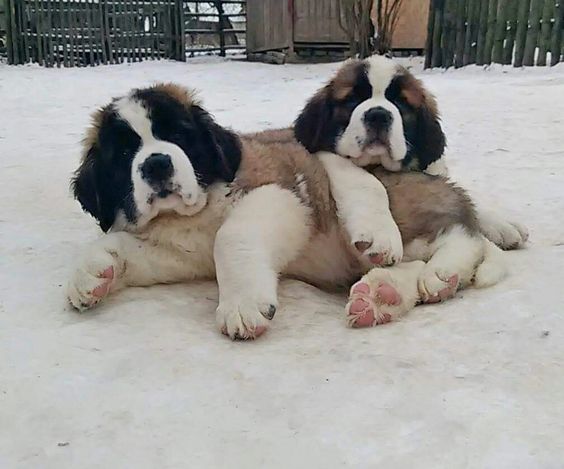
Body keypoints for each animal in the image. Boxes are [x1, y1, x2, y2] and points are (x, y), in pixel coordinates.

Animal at [67, 77, 516, 340]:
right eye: (125, 153)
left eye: (178, 136)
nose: (157, 163)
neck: (193, 212)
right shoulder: (181, 255)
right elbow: (122, 247)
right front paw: (93, 275)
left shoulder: (280, 194)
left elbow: (232, 236)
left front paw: (242, 304)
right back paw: (381, 295)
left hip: (406, 215)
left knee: (462, 237)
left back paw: (443, 272)